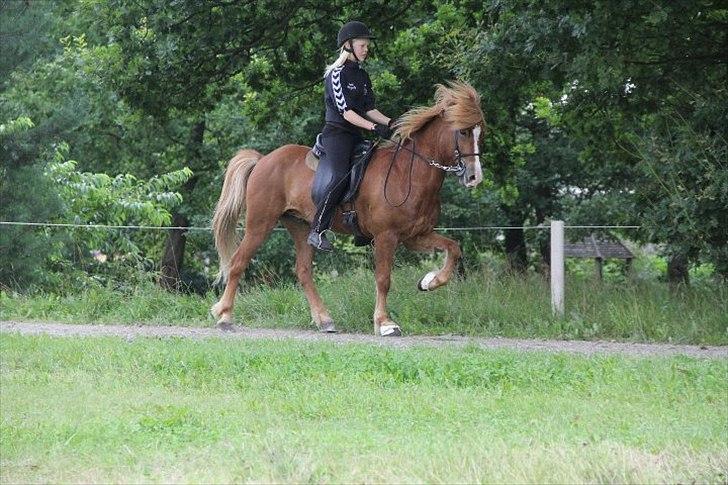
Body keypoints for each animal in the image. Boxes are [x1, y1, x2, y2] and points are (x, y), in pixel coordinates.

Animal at [209, 81, 484, 334]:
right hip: (260, 223)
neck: (408, 173)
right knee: (238, 262)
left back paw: (324, 320)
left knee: (303, 271)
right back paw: (224, 317)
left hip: (301, 225)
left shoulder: (415, 236)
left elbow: (453, 248)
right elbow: (383, 279)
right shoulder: (386, 236)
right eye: (463, 132)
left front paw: (429, 281)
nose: (474, 177)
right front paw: (385, 323)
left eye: (480, 132)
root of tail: (263, 160)